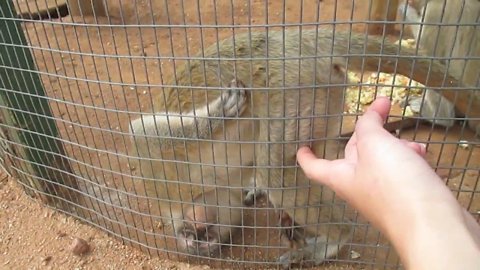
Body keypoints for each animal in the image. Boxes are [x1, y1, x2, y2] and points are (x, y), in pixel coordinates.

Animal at [128, 28, 464, 266]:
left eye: (201, 233)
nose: (201, 237)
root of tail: (298, 41)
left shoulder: (165, 176)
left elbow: (144, 133)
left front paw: (216, 116)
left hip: (291, 85)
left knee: (278, 175)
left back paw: (337, 236)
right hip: (324, 90)